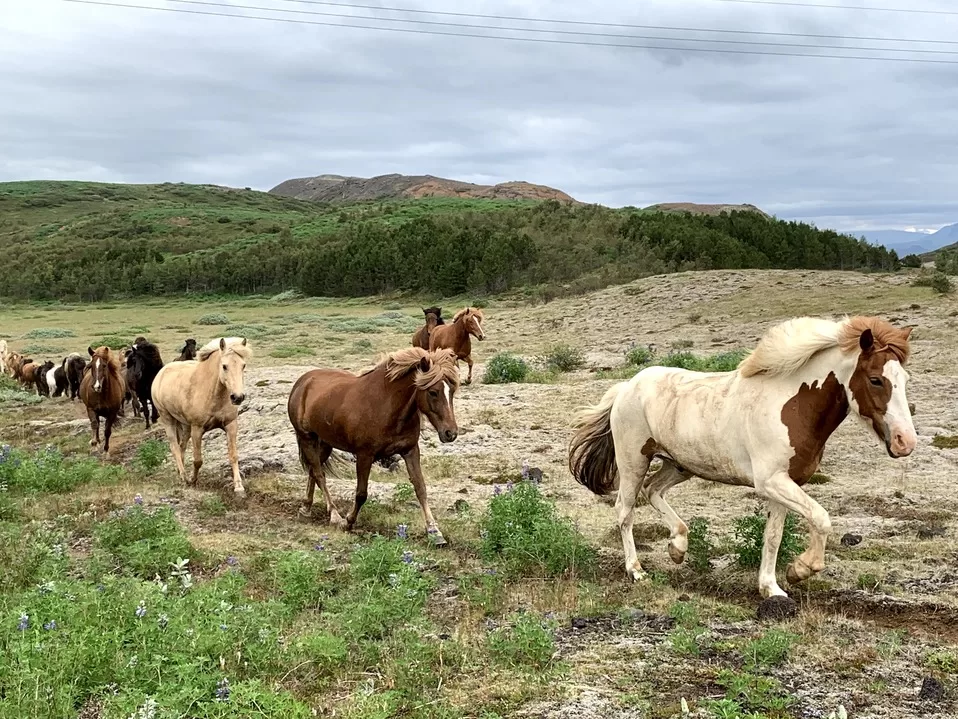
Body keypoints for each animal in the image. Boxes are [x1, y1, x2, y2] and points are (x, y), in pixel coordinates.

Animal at [151, 337, 252, 496]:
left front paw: (239, 487)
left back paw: (180, 471)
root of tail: (162, 372)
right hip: (168, 419)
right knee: (174, 446)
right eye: (224, 366)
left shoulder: (231, 425)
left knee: (181, 446)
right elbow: (198, 460)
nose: (238, 397)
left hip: (185, 425)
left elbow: (233, 456)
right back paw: (184, 476)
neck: (213, 393)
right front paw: (193, 480)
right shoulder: (197, 429)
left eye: (243, 365)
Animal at [287, 346, 460, 543]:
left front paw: (434, 531)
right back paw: (334, 515)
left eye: (452, 391)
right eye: (433, 392)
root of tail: (303, 382)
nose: (450, 433)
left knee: (313, 472)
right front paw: (348, 522)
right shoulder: (364, 455)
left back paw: (306, 509)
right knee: (318, 474)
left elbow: (420, 488)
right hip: (306, 437)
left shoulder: (410, 450)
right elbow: (361, 493)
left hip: (324, 443)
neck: (386, 407)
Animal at [568, 315, 917, 601]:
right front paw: (800, 569)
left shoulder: (786, 484)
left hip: (679, 464)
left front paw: (771, 588)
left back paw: (677, 548)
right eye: (875, 379)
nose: (906, 442)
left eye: (904, 380)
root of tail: (627, 386)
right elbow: (821, 518)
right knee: (625, 511)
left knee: (653, 490)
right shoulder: (770, 482)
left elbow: (773, 536)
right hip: (633, 462)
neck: (792, 406)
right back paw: (637, 570)